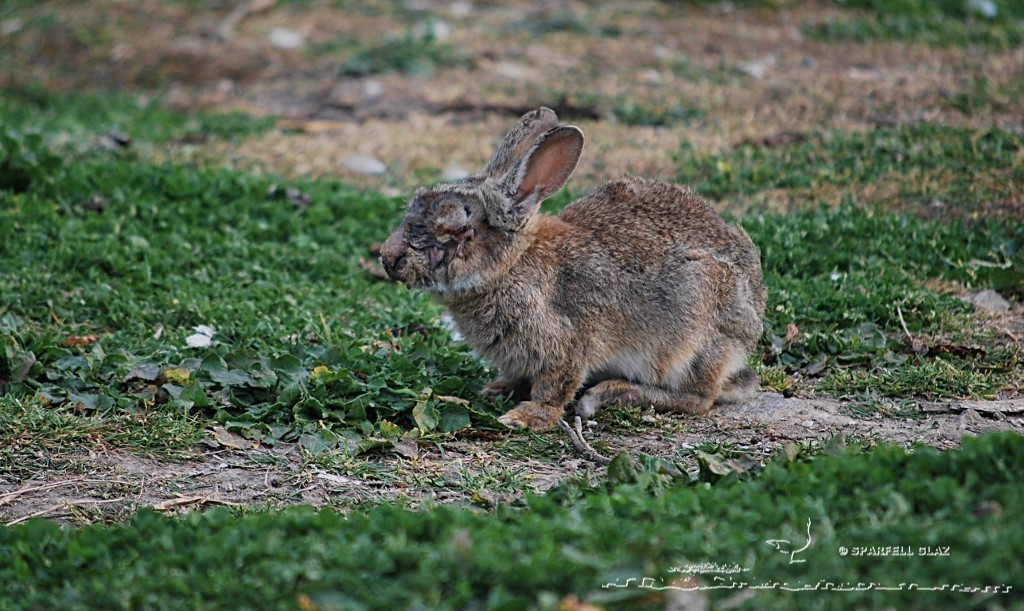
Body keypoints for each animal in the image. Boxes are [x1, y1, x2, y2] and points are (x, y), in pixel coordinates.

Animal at [380, 107, 765, 431]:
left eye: (456, 230)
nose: (388, 258)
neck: (509, 266)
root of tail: (750, 327)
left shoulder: (565, 342)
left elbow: (556, 386)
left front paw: (526, 417)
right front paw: (495, 389)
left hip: (693, 326)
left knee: (698, 398)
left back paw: (610, 393)